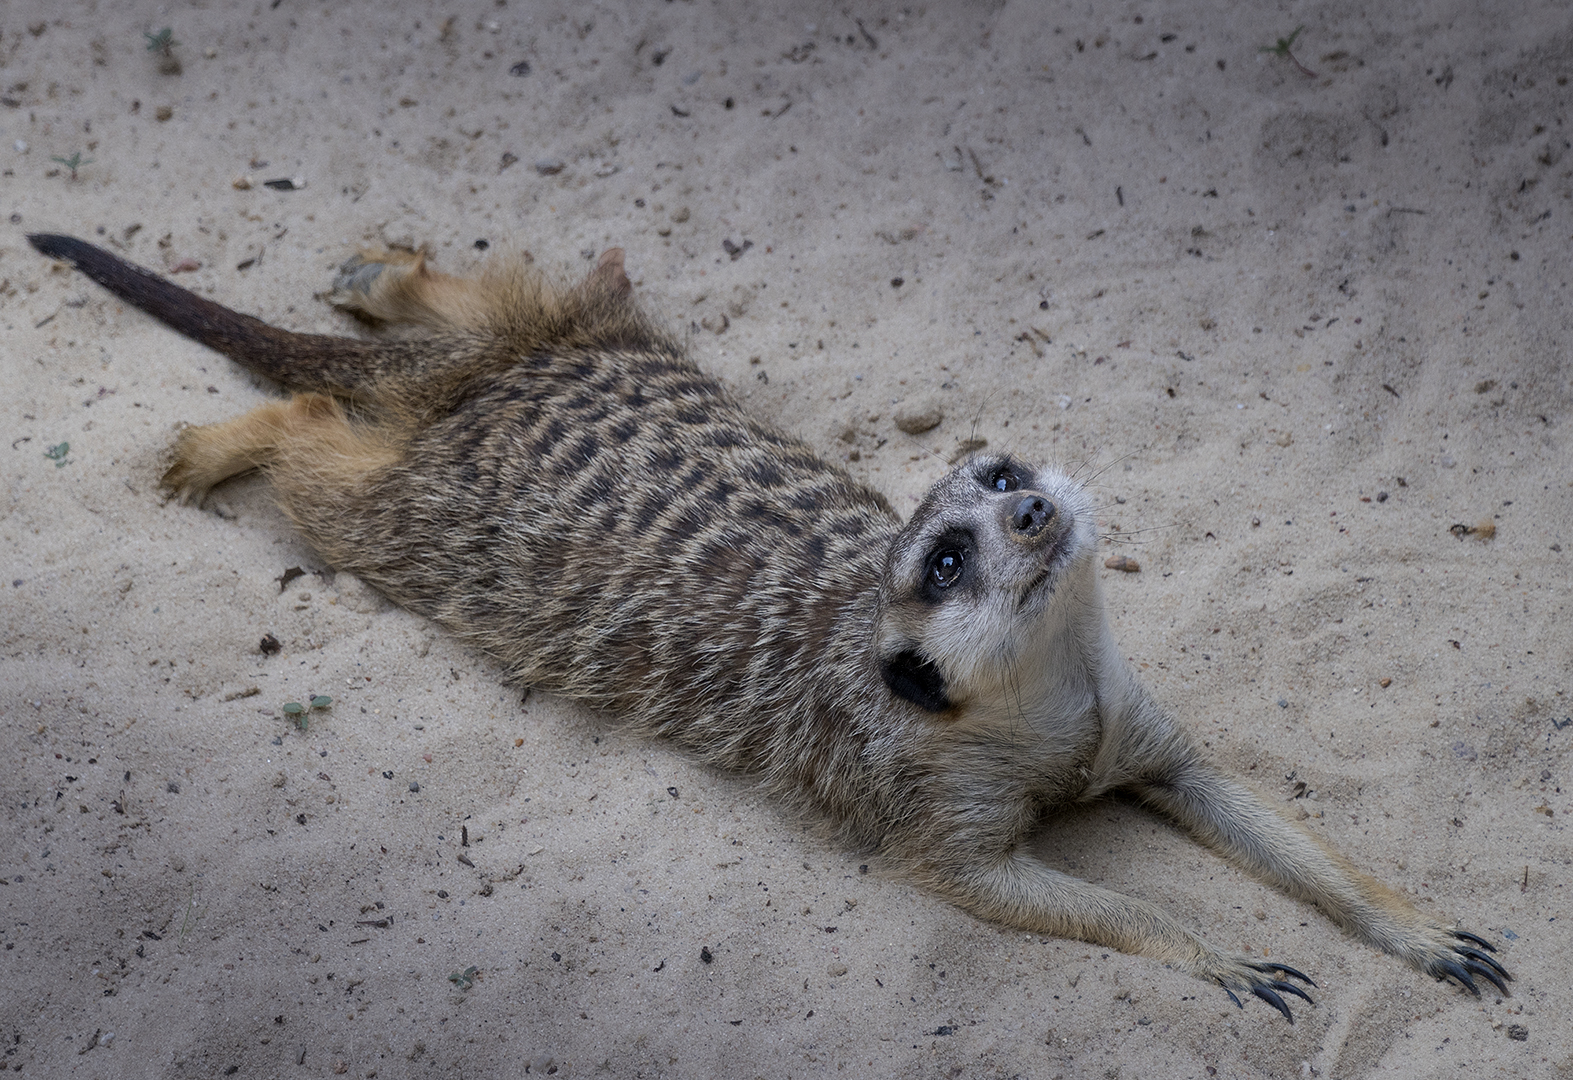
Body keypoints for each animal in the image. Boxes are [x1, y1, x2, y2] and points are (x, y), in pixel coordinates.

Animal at [27, 233, 1509, 1021]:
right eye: (953, 556)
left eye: (996, 478)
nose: (1037, 501)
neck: (1050, 703)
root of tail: (462, 394)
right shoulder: (933, 819)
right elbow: (1012, 887)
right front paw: (1222, 957)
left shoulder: (1141, 728)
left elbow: (1264, 821)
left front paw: (1420, 932)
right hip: (405, 524)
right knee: (314, 448)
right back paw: (223, 440)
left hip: (598, 337)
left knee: (517, 292)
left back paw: (382, 273)